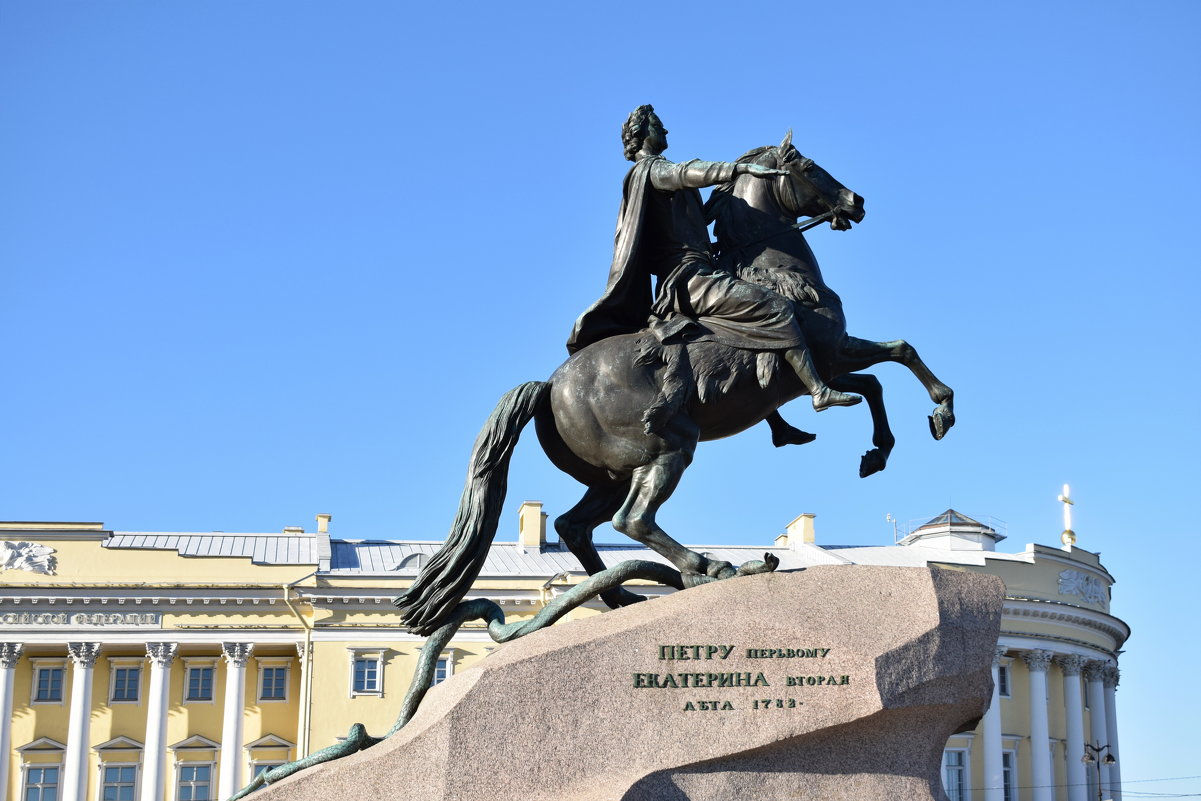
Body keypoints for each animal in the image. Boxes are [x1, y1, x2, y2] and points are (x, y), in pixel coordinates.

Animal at [396, 134, 955, 634]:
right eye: (810, 167)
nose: (855, 202)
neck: (777, 271)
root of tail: (549, 385)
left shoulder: (818, 366)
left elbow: (876, 382)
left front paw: (877, 452)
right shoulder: (827, 350)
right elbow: (898, 354)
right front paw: (940, 411)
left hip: (612, 474)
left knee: (575, 526)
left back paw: (623, 597)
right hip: (669, 446)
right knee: (632, 521)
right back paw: (708, 567)